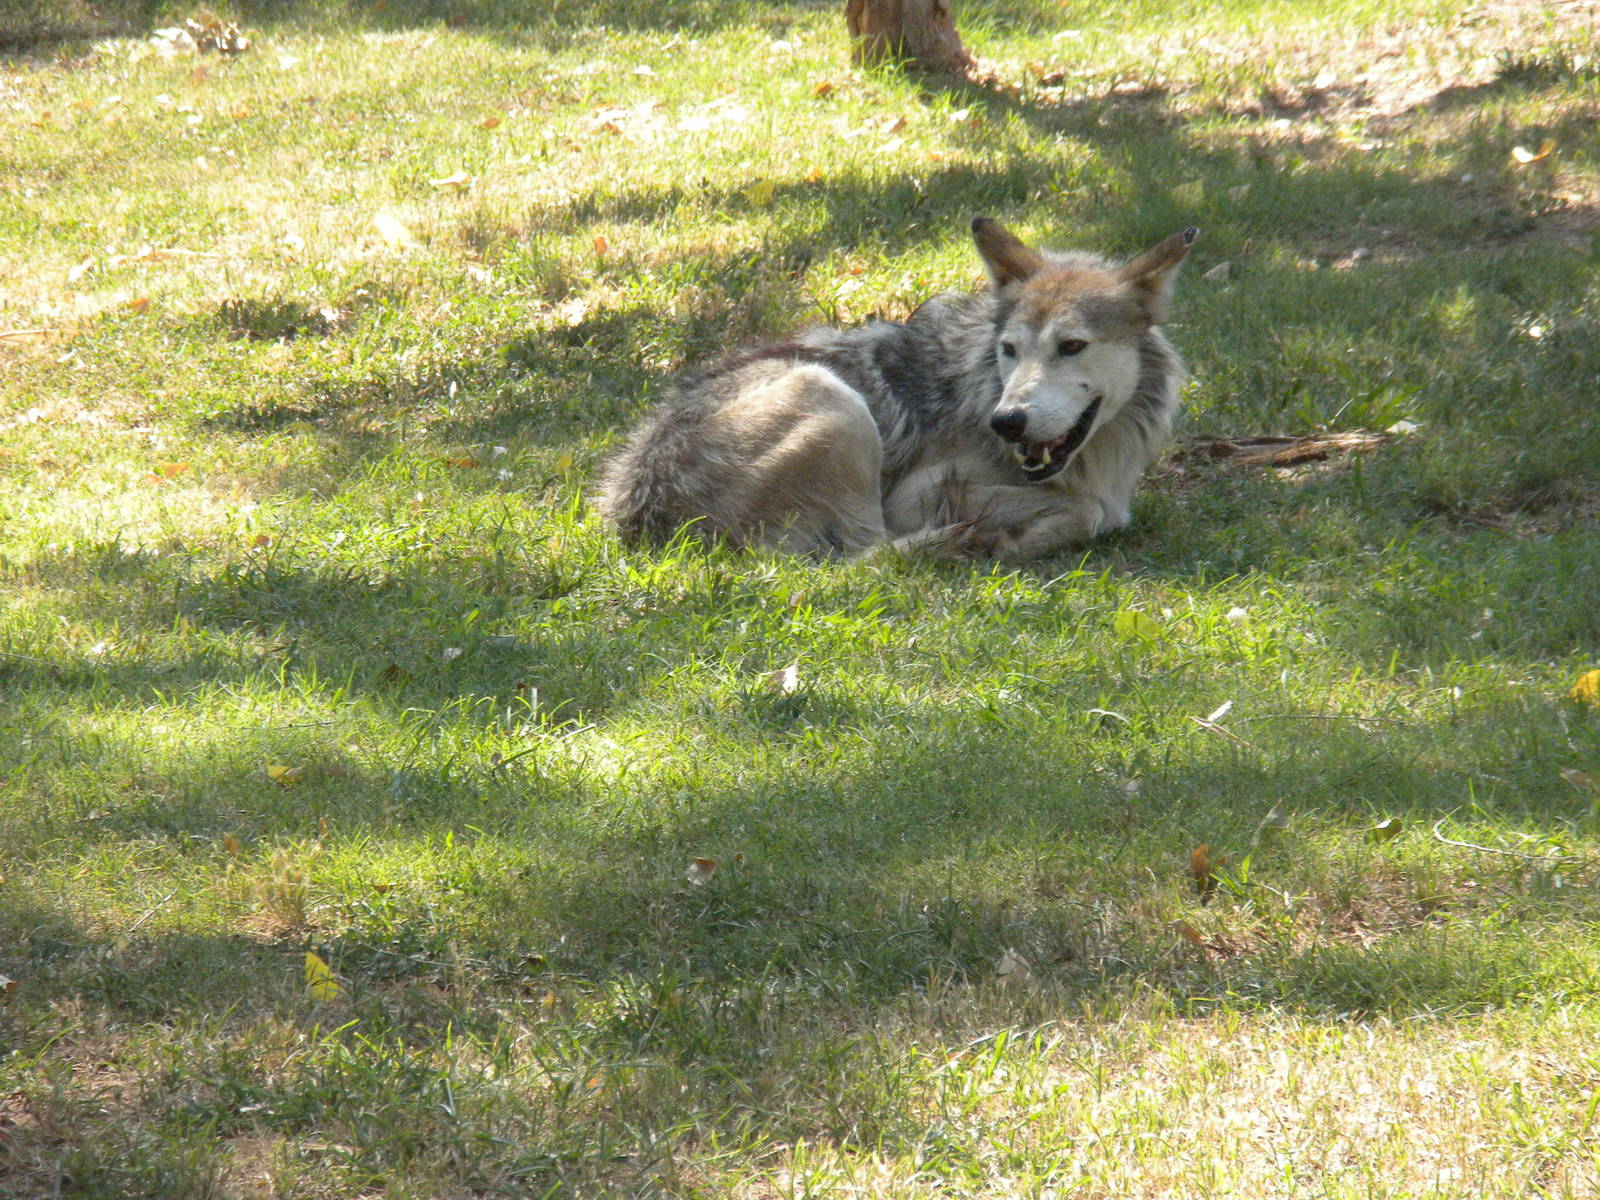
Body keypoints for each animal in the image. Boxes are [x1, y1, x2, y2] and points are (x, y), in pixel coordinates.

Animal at [597, 217, 1195, 560]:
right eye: (1010, 350)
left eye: (1071, 346)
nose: (1007, 422)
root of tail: (640, 522)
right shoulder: (915, 495)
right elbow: (1095, 513)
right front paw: (1015, 535)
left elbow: (1098, 509)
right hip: (832, 400)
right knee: (868, 557)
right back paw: (969, 542)